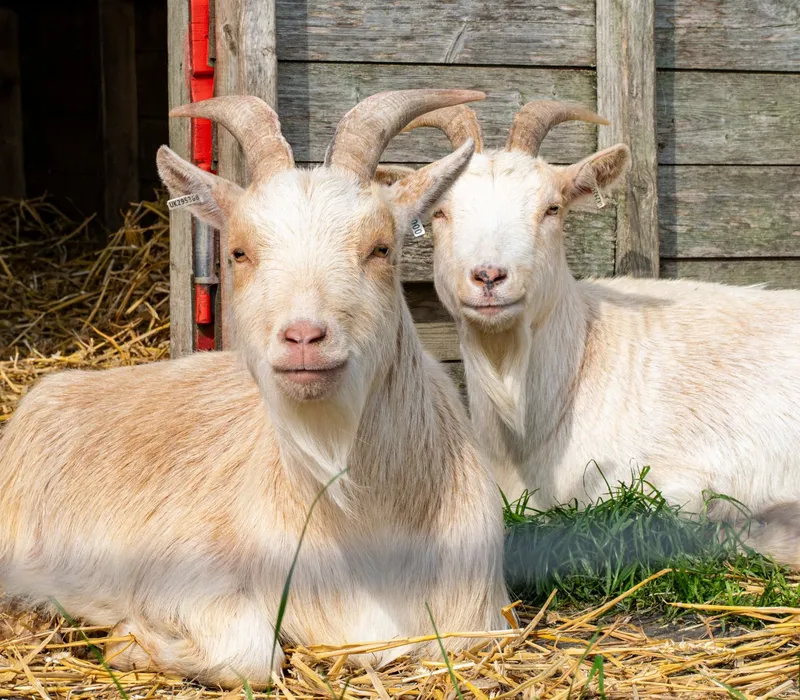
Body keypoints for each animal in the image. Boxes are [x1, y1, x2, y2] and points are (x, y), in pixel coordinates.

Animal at [0, 90, 509, 687]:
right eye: (239, 252)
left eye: (381, 249)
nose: (304, 337)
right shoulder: (180, 570)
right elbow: (252, 654)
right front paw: (129, 641)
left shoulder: (476, 615)